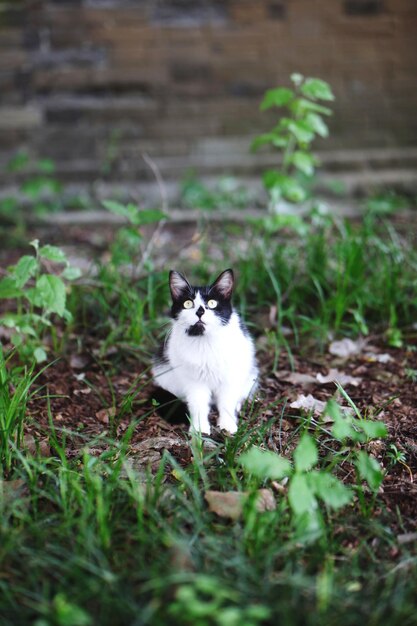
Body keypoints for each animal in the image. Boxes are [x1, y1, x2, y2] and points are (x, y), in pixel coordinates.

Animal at [153, 268, 256, 434]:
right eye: (188, 303)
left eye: (212, 303)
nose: (200, 311)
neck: (205, 342)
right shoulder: (194, 381)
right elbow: (198, 405)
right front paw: (200, 430)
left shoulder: (229, 378)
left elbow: (227, 403)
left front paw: (228, 425)